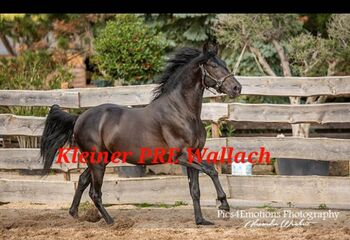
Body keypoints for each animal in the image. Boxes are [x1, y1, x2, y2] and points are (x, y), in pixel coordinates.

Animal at [40, 42, 241, 225]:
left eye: (224, 63)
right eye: (213, 65)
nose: (236, 88)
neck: (181, 110)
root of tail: (79, 118)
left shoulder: (194, 154)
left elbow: (195, 190)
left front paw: (201, 221)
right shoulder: (182, 156)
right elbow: (212, 170)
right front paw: (224, 205)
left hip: (101, 159)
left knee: (82, 180)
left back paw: (75, 213)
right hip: (97, 161)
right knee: (95, 192)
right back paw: (111, 221)